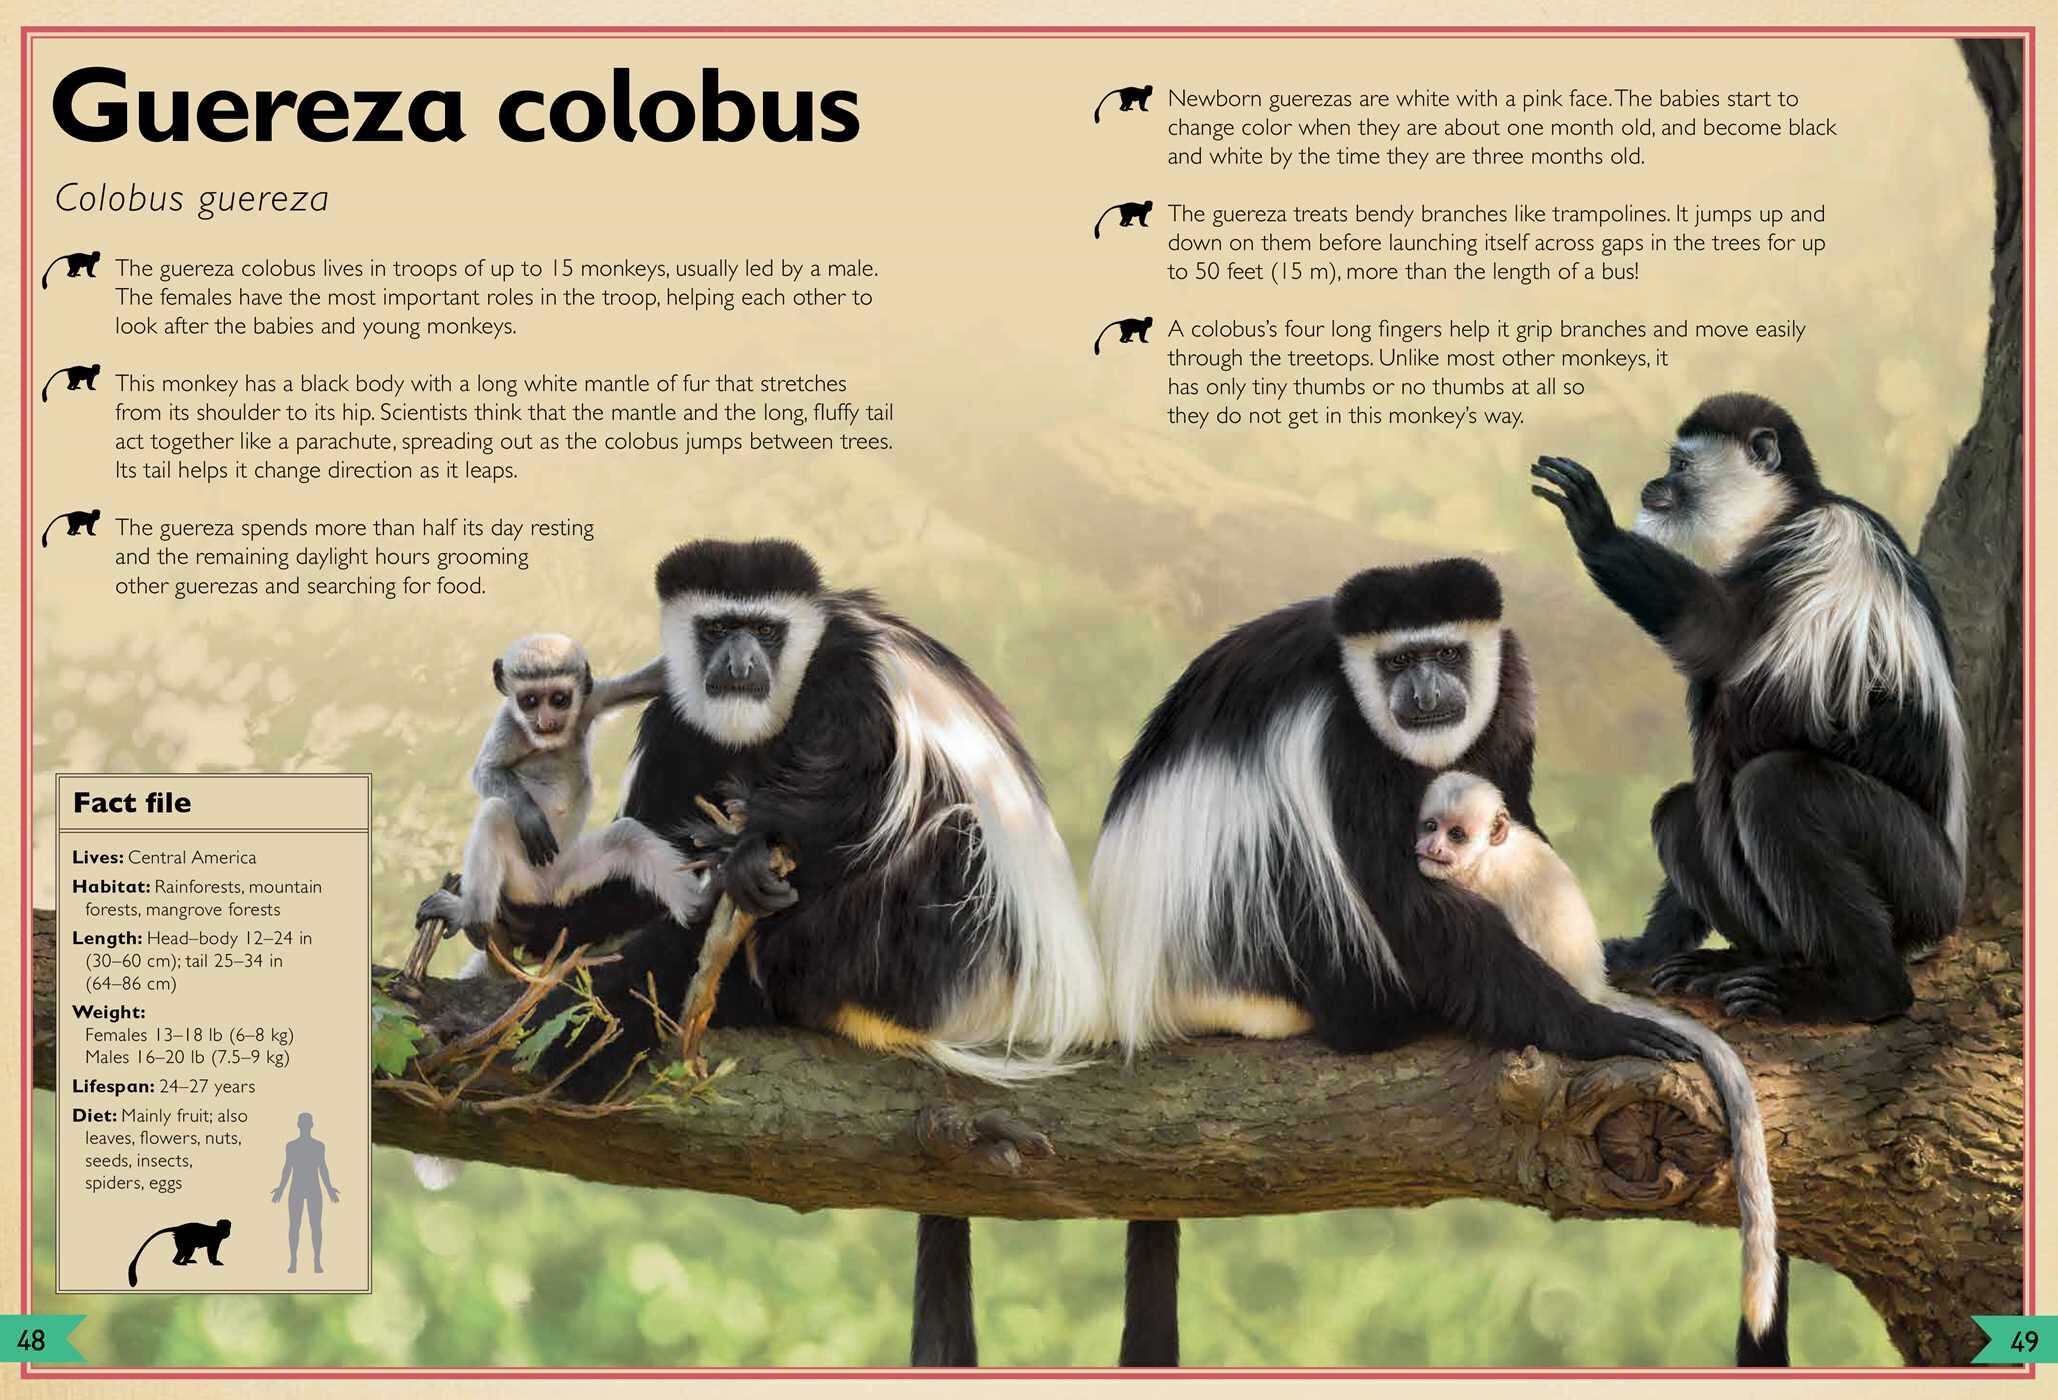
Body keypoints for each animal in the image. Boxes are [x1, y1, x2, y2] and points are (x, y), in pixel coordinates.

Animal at [493, 539, 1107, 1368]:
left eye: (766, 630)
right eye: (718, 628)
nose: (741, 661)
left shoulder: (853, 672)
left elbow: (857, 782)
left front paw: (750, 855)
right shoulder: (675, 710)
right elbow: (657, 830)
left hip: (934, 947)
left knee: (936, 827)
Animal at [1089, 557, 1697, 1366]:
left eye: (1444, 654)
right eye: (1398, 662)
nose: (1426, 691)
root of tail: (1140, 990)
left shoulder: (1511, 683)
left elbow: (1510, 811)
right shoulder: (1339, 739)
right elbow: (1402, 898)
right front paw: (1592, 1023)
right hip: (1234, 937)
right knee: (1299, 861)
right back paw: (1377, 1020)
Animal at [1530, 392, 1965, 1024]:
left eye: (1680, 466)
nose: (1652, 486)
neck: (1780, 516)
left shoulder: (1819, 543)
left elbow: (1717, 633)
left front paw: (1595, 527)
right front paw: (1643, 949)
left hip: (1919, 882)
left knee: (1777, 787)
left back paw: (1862, 991)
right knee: (1684, 809)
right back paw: (1738, 962)